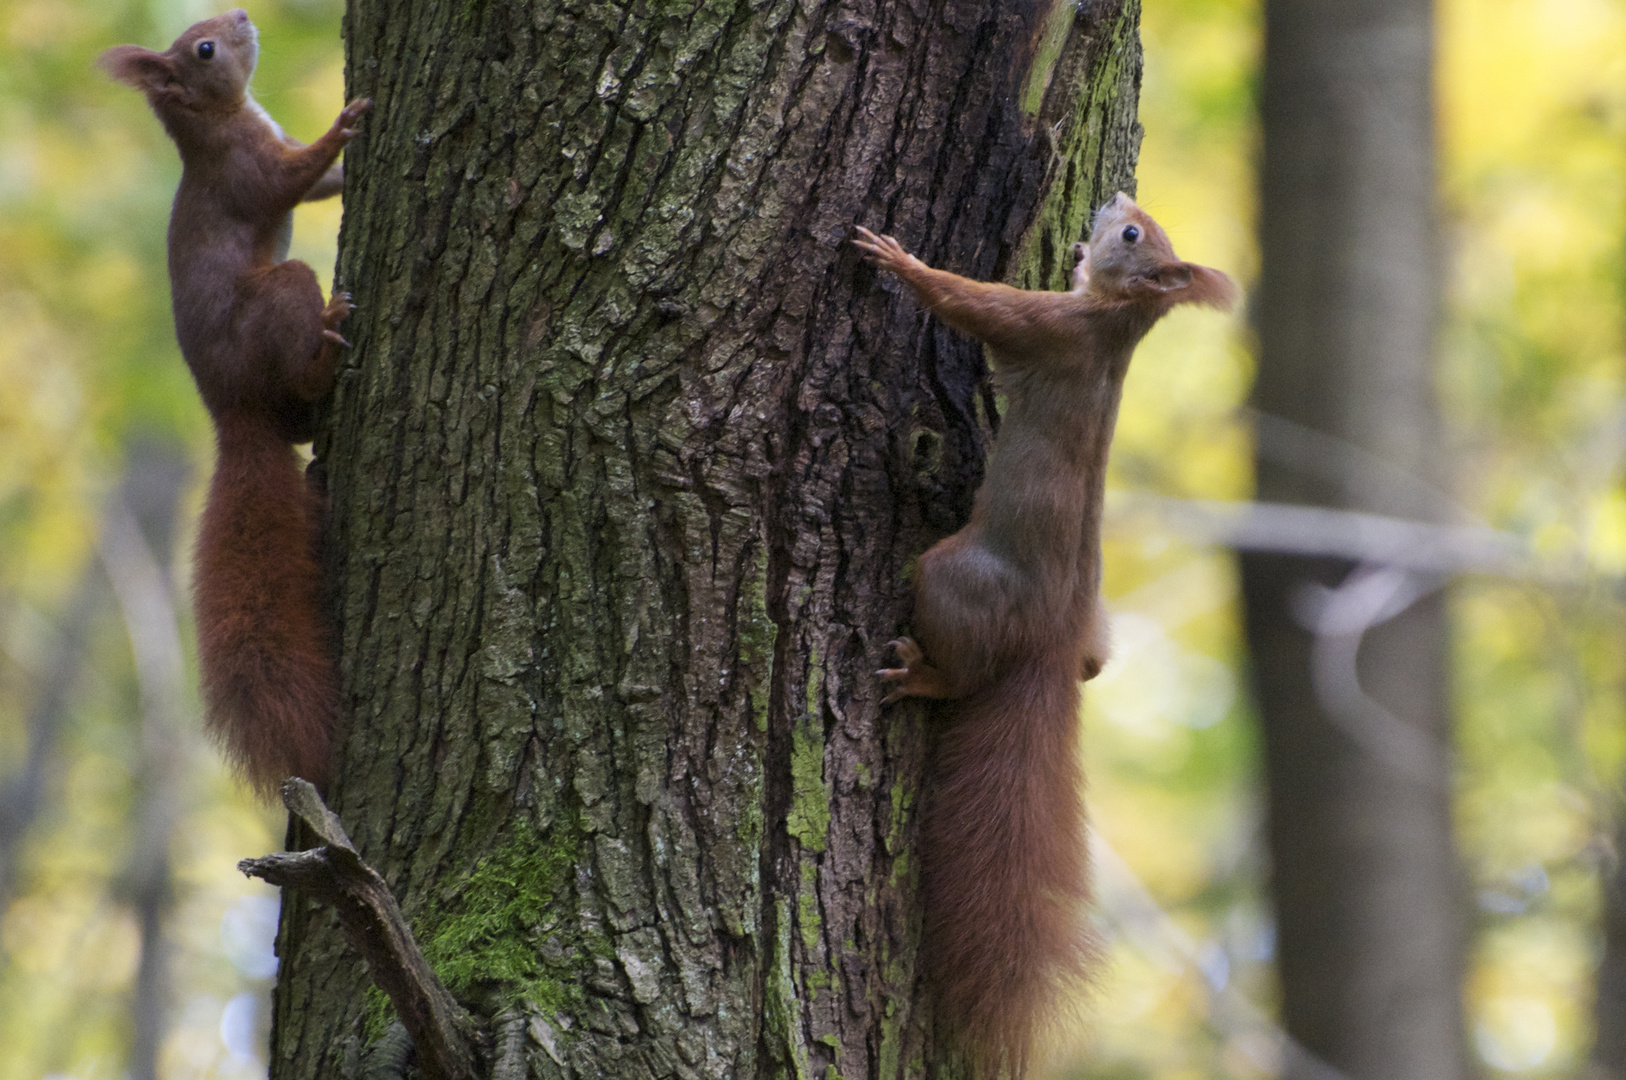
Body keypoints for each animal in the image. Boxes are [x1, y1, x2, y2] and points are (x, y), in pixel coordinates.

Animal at [101, 10, 372, 793]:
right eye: (204, 49)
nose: (244, 16)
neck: (220, 121)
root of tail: (232, 410)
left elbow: (318, 188)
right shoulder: (246, 171)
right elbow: (289, 180)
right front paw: (343, 126)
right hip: (280, 293)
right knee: (301, 361)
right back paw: (327, 347)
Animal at [852, 195, 1229, 1080]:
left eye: (1133, 236)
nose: (1114, 205)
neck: (1116, 323)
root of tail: (1051, 646)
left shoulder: (1042, 327)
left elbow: (972, 303)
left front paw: (899, 260)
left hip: (950, 573)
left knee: (957, 670)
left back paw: (920, 676)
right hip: (1091, 639)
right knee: (1093, 667)